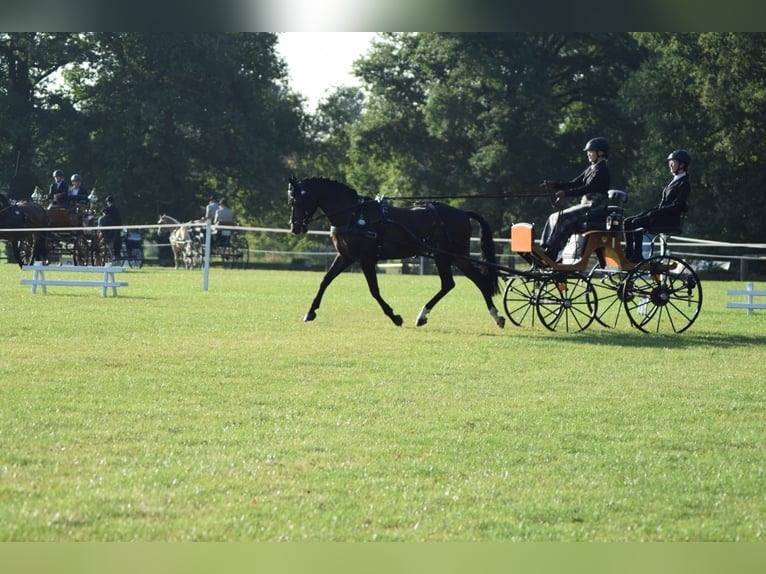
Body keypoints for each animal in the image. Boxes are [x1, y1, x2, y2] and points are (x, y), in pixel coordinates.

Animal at [286, 176, 504, 328]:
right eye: (291, 201)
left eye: (297, 201)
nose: (295, 227)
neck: (355, 215)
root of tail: (462, 213)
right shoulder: (346, 257)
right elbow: (325, 281)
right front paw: (310, 312)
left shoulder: (366, 259)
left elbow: (374, 290)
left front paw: (394, 316)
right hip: (448, 257)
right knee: (456, 283)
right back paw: (424, 315)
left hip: (449, 256)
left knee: (470, 281)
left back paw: (496, 316)